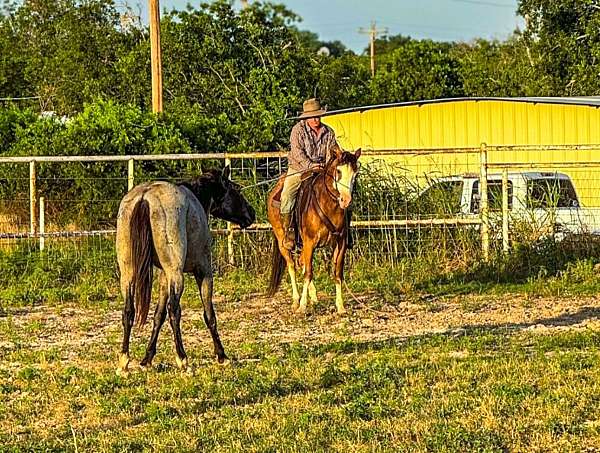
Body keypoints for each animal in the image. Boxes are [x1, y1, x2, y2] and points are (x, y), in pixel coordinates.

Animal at [116, 167, 254, 374]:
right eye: (236, 189)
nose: (251, 213)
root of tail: (145, 197)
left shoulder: (164, 277)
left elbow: (158, 316)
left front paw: (147, 359)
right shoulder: (203, 271)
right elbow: (209, 315)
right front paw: (221, 355)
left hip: (128, 275)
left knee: (128, 312)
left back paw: (124, 361)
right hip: (177, 275)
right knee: (174, 311)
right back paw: (183, 359)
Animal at [268, 147, 360, 312]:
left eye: (355, 173)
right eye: (338, 171)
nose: (346, 200)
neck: (327, 205)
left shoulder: (341, 243)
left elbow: (337, 273)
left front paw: (340, 306)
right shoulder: (309, 242)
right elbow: (308, 273)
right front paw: (302, 306)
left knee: (301, 263)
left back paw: (314, 297)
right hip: (282, 241)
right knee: (292, 266)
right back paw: (296, 300)